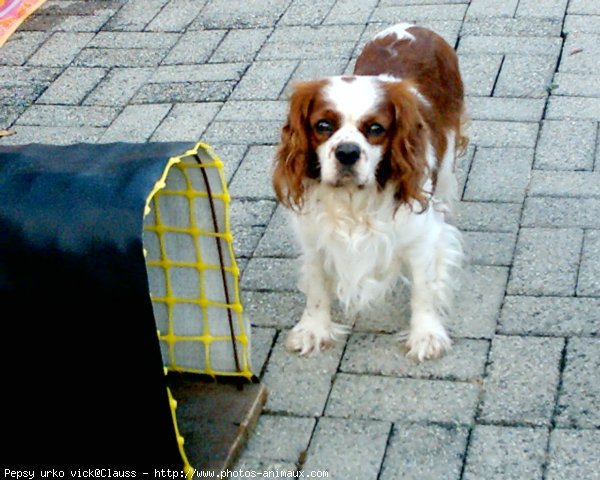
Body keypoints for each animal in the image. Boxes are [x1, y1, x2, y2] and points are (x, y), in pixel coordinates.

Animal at [270, 23, 464, 360]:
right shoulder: (314, 236)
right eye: (323, 125)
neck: (353, 202)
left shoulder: (421, 237)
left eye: (375, 129)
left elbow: (424, 289)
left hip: (448, 156)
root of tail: (413, 25)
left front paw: (425, 334)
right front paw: (314, 328)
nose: (347, 152)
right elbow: (317, 286)